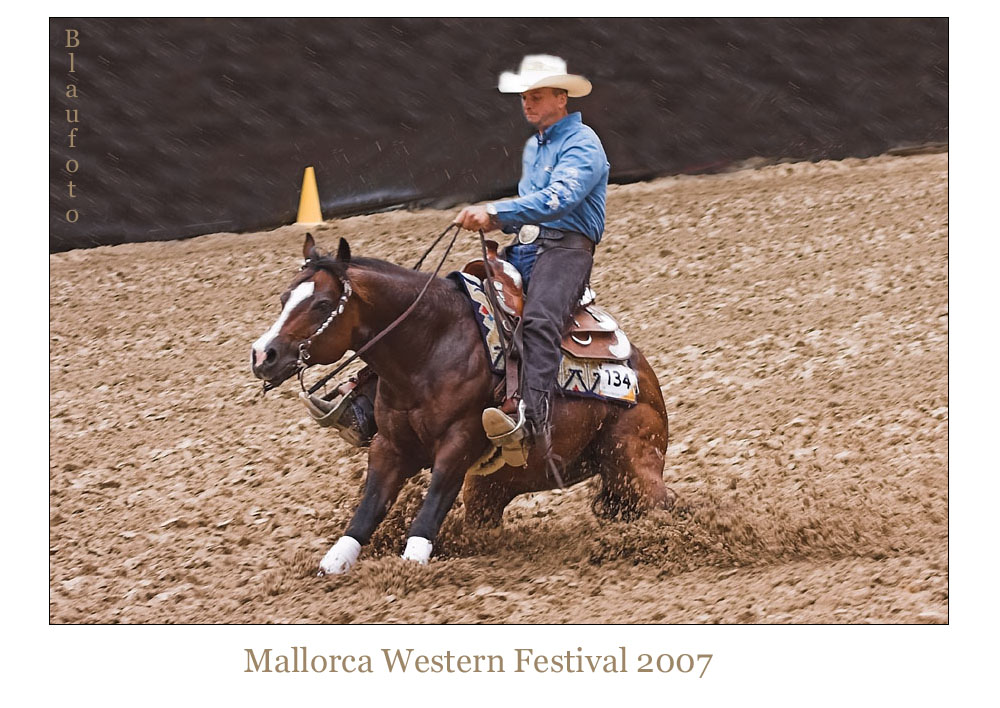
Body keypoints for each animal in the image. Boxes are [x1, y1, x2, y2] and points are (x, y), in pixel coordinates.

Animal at [250, 234, 676, 576]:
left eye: (322, 304)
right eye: (284, 298)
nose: (262, 355)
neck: (430, 345)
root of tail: (646, 378)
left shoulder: (458, 444)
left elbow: (432, 504)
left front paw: (410, 566)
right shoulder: (390, 446)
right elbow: (370, 506)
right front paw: (333, 563)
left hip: (631, 462)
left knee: (666, 504)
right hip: (494, 486)